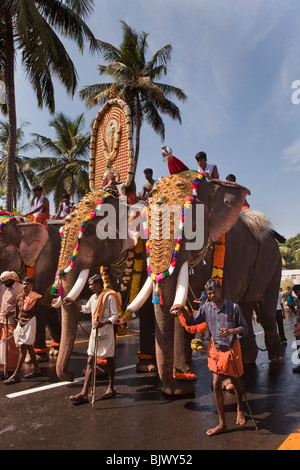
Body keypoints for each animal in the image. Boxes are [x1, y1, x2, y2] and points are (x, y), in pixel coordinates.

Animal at [127, 171, 284, 394]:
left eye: (191, 226)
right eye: (146, 228)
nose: (170, 384)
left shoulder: (234, 254)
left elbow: (226, 303)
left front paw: (227, 384)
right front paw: (179, 388)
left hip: (275, 265)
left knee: (267, 311)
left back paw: (275, 359)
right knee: (245, 308)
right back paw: (247, 361)